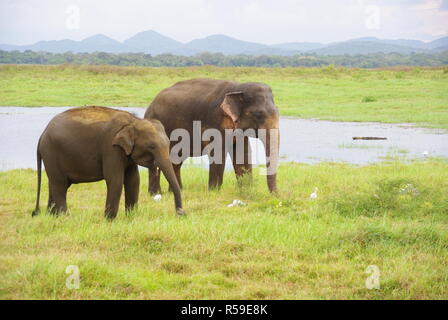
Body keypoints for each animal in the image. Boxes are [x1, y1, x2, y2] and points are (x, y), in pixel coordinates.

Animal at [32, 106, 184, 219]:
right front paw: (109, 220)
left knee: (55, 184)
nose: (182, 214)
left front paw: (131, 217)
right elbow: (115, 180)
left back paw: (52, 216)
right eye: (151, 147)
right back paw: (65, 217)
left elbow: (133, 180)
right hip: (51, 153)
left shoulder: (126, 154)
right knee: (59, 184)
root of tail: (42, 135)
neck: (133, 121)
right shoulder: (111, 149)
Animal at [144, 79, 280, 194]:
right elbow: (218, 153)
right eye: (258, 115)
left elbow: (242, 153)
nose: (275, 196)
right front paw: (214, 192)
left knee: (176, 160)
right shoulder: (216, 121)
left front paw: (246, 190)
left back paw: (176, 191)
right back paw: (156, 194)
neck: (238, 87)